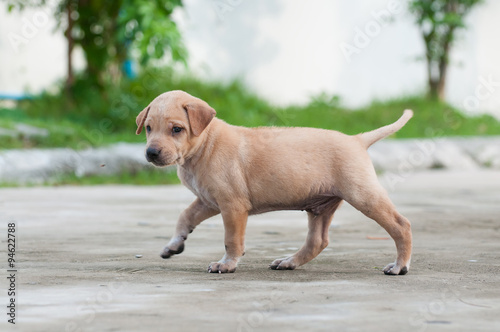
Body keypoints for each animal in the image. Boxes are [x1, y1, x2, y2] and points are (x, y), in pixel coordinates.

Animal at [135, 90, 412, 274]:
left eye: (177, 129)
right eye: (148, 128)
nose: (151, 153)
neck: (206, 144)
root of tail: (357, 140)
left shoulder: (232, 205)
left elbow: (231, 239)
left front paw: (227, 264)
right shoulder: (208, 201)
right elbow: (184, 216)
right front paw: (174, 245)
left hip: (363, 194)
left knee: (401, 225)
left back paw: (400, 265)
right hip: (321, 206)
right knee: (318, 241)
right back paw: (289, 261)